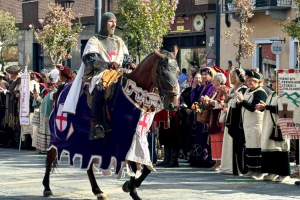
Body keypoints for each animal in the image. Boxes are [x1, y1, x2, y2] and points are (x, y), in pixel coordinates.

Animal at [41, 48, 178, 200]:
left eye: (177, 72)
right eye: (163, 72)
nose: (173, 105)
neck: (135, 94)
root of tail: (63, 87)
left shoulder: (140, 136)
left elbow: (145, 166)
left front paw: (129, 186)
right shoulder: (126, 137)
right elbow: (132, 165)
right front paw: (132, 190)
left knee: (88, 164)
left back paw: (98, 190)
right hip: (59, 136)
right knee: (50, 156)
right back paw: (47, 188)